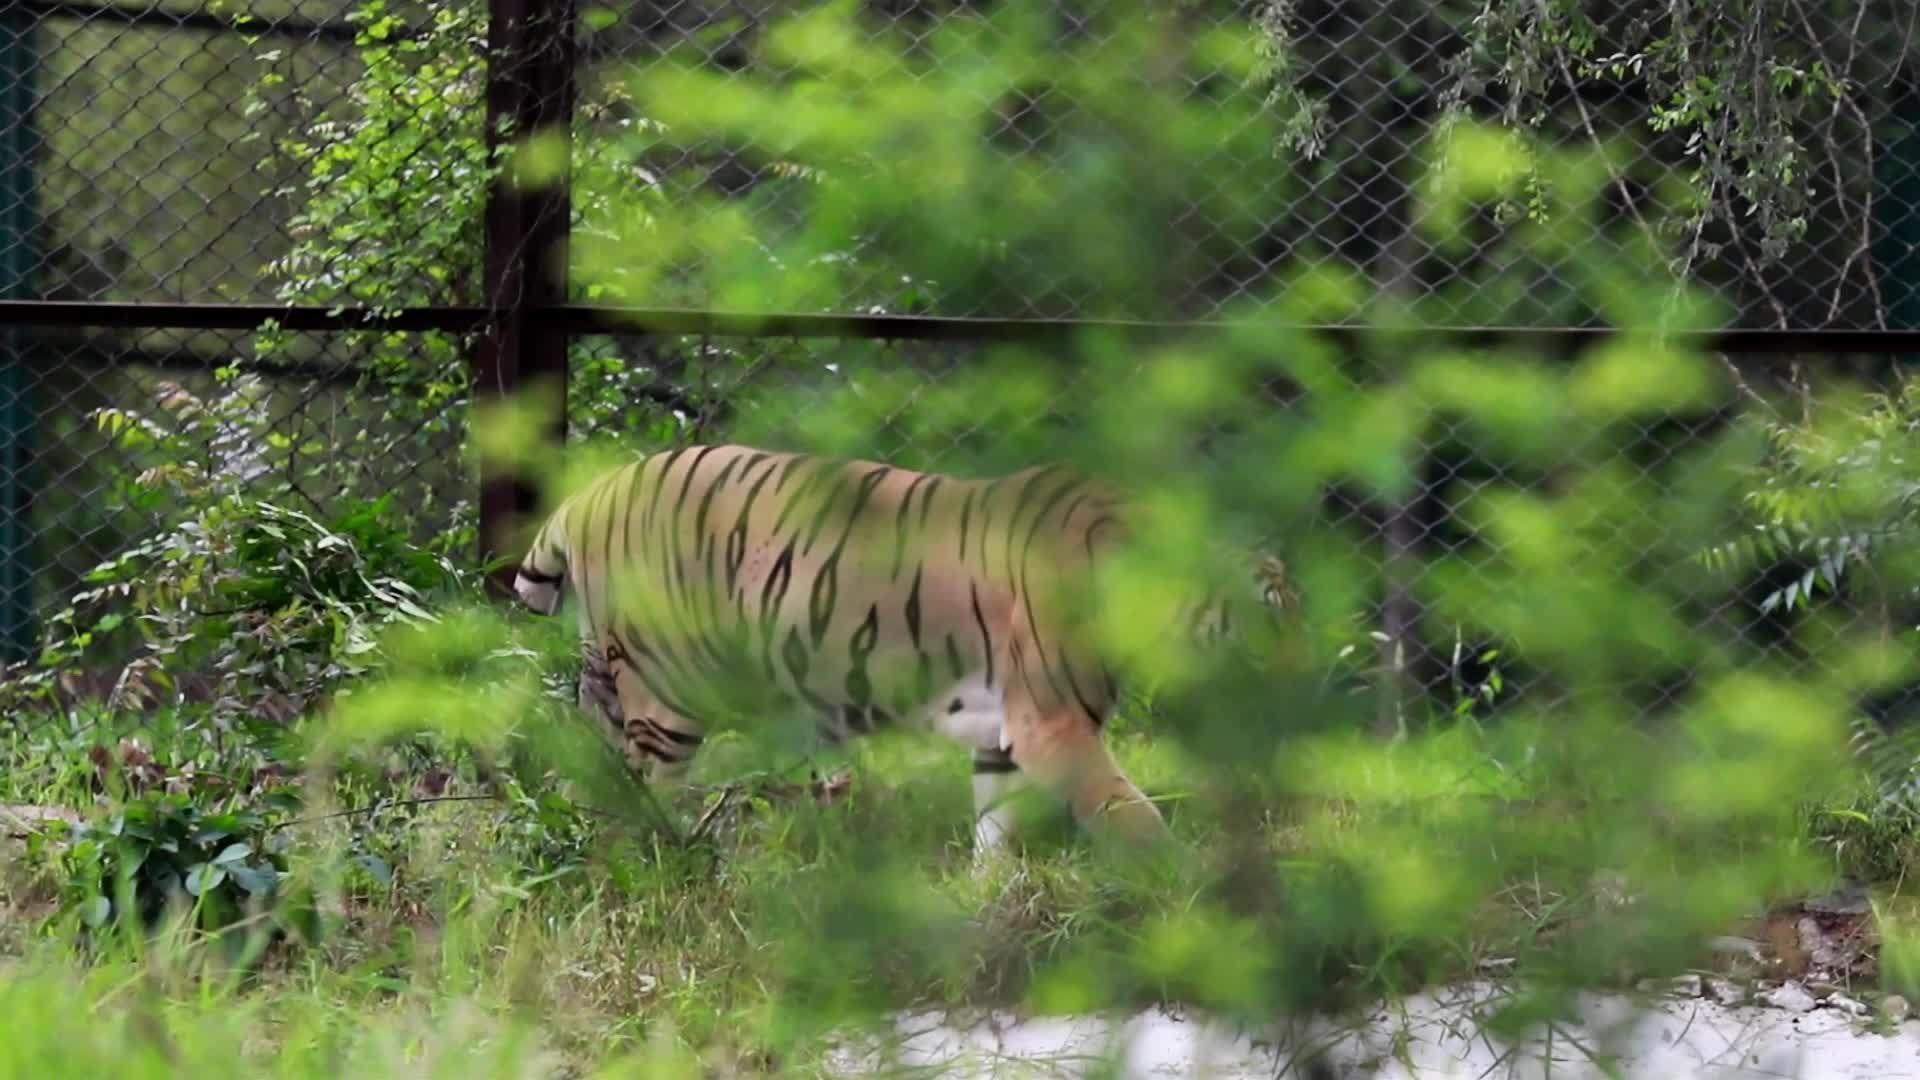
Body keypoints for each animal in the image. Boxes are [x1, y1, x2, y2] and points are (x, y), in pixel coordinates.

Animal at [512, 443, 1291, 855]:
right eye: (1269, 613)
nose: (1302, 669)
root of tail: (591, 491)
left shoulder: (1006, 735)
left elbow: (995, 829)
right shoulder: (1051, 724)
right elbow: (1129, 814)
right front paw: (1185, 888)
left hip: (606, 689)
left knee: (580, 785)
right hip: (666, 695)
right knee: (641, 798)